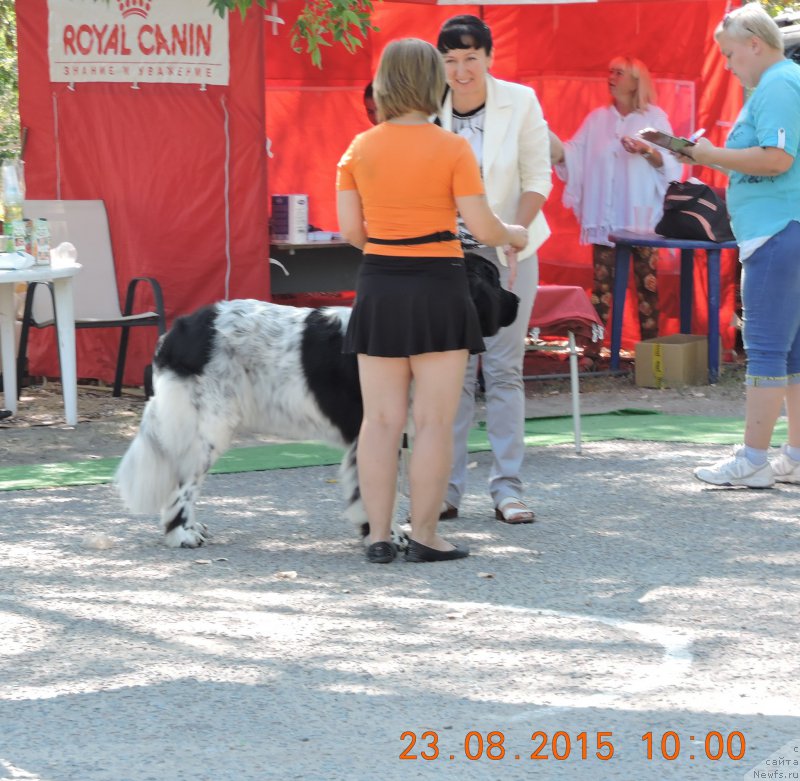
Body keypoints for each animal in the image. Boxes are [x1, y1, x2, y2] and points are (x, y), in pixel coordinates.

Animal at [115, 256, 520, 548]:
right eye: (493, 280)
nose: (517, 300)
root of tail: (177, 333)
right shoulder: (373, 430)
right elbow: (376, 488)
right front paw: (386, 537)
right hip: (208, 428)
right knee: (183, 483)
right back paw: (182, 535)